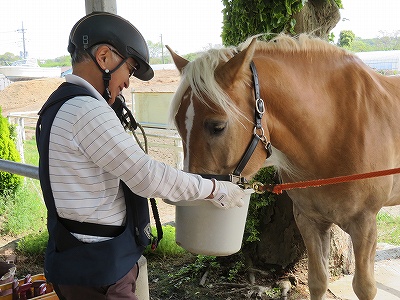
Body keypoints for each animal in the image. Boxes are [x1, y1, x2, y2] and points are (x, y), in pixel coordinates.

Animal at [166, 34, 400, 298]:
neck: (334, 129)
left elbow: (364, 288)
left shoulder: (365, 224)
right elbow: (318, 281)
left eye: (217, 126)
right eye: (178, 124)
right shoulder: (310, 220)